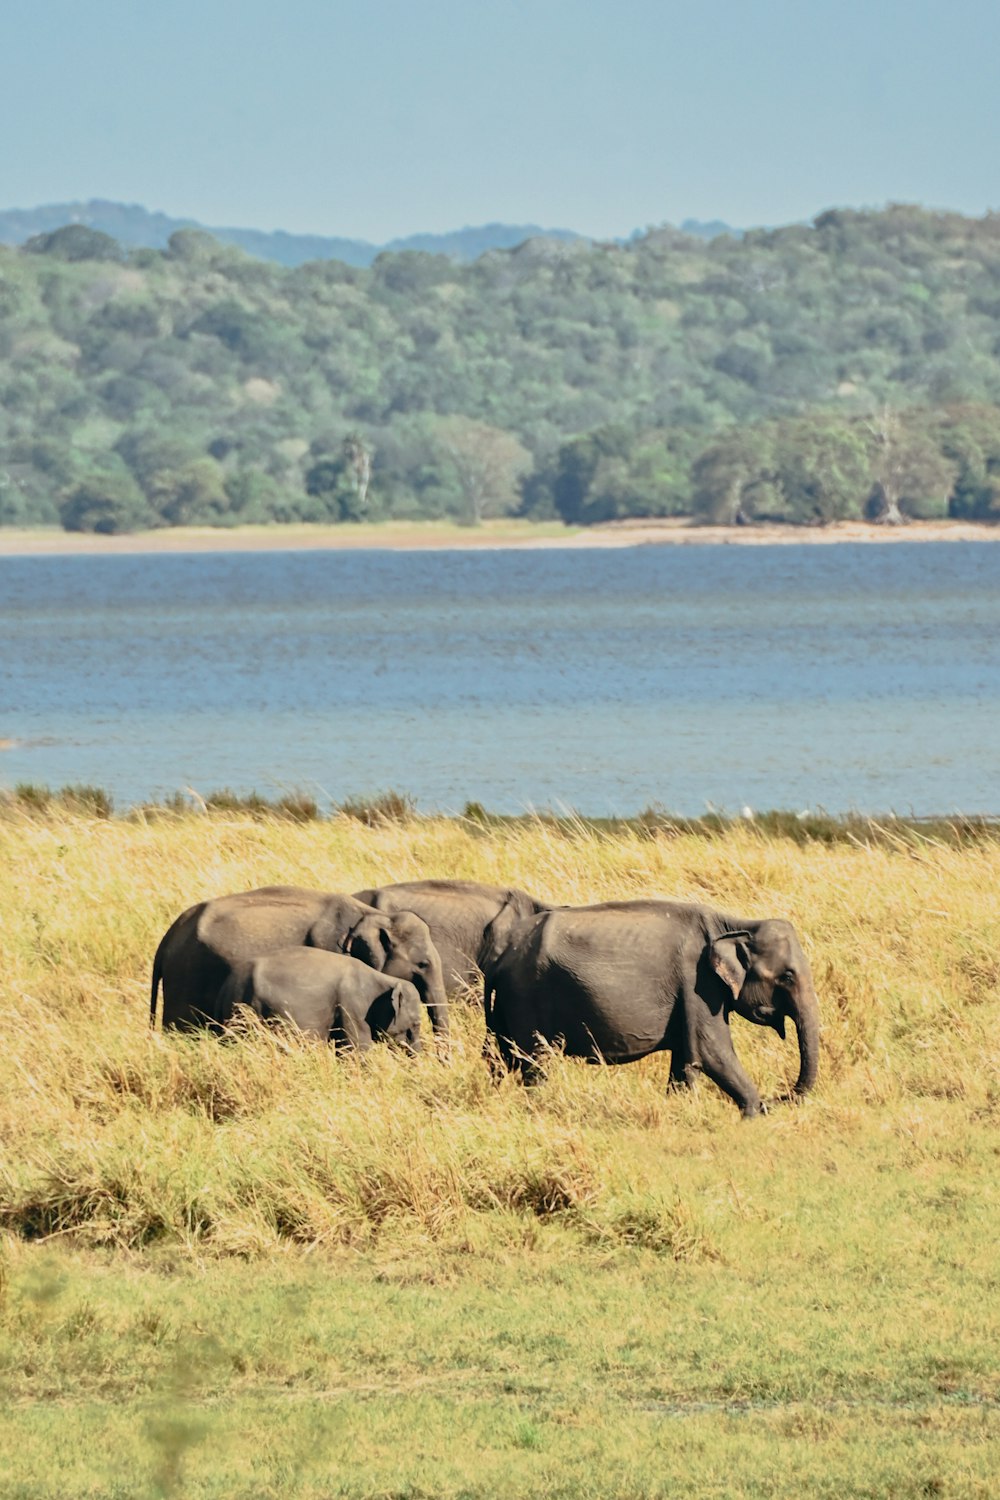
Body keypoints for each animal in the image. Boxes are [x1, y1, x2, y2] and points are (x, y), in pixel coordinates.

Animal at [485, 900, 821, 1116]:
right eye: (787, 976)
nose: (776, 1098)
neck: (737, 923)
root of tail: (501, 955)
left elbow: (685, 1057)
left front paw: (679, 1107)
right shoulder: (698, 983)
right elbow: (712, 1050)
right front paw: (755, 1114)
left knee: (504, 1058)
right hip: (527, 995)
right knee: (536, 1060)